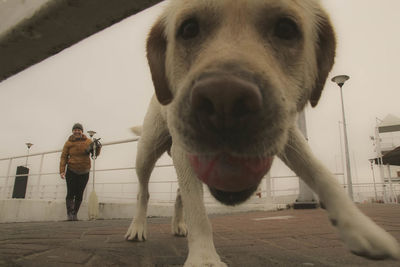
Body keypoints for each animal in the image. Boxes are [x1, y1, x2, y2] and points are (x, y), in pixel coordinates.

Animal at [126, 0, 400, 266]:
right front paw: (204, 258)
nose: (224, 101)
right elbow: (198, 210)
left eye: (286, 29)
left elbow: (321, 173)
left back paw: (178, 224)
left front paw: (362, 229)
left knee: (179, 193)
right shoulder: (185, 151)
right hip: (148, 149)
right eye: (189, 29)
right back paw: (138, 226)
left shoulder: (289, 135)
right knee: (144, 191)